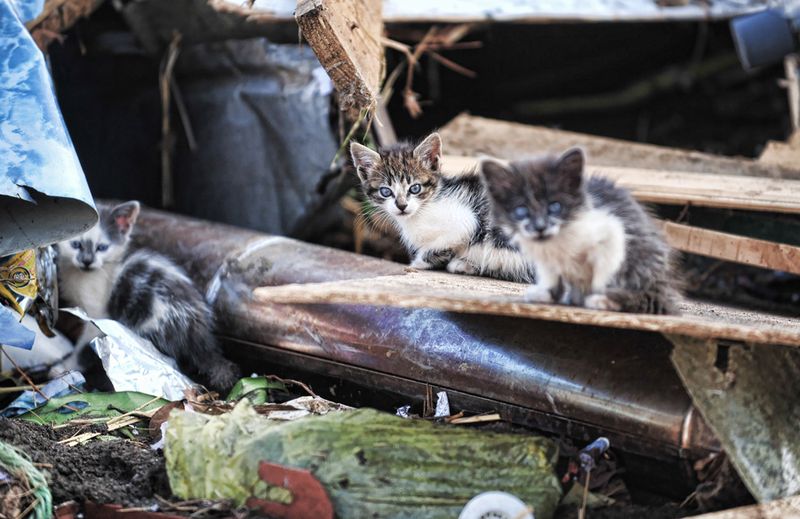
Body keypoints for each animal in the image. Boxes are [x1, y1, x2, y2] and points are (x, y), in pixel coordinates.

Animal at [54, 201, 241, 392]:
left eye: (102, 248)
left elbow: (84, 344)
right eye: (76, 244)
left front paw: (66, 367)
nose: (87, 261)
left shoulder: (98, 315)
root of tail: (196, 329)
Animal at [478, 148, 680, 314]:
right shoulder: (542, 257)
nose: (540, 227)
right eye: (521, 211)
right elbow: (551, 275)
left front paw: (597, 297)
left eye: (555, 207)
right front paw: (549, 294)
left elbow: (604, 274)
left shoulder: (612, 236)